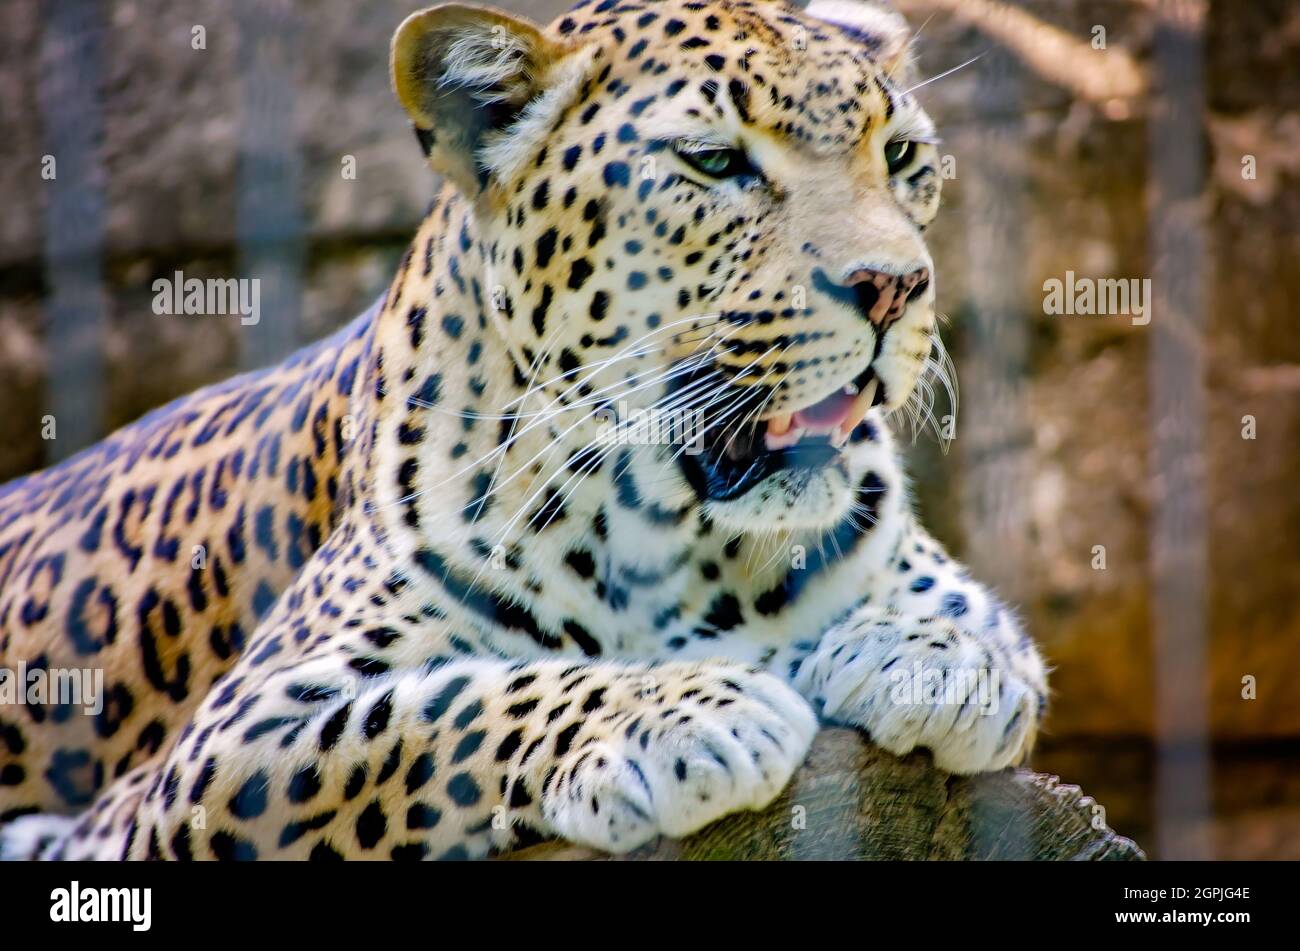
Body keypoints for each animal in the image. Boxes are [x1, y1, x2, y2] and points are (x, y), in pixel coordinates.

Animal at [0, 0, 1045, 862]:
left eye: (901, 156)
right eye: (714, 163)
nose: (896, 287)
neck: (670, 530)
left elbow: (980, 621)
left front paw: (938, 657)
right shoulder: (227, 747)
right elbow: (441, 713)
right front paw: (686, 708)